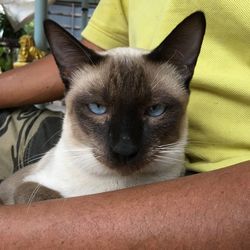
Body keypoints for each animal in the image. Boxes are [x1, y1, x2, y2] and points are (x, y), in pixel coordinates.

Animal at [0, 11, 205, 205]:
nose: (124, 149)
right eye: (97, 108)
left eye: (155, 109)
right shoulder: (26, 185)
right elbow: (48, 196)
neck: (115, 187)